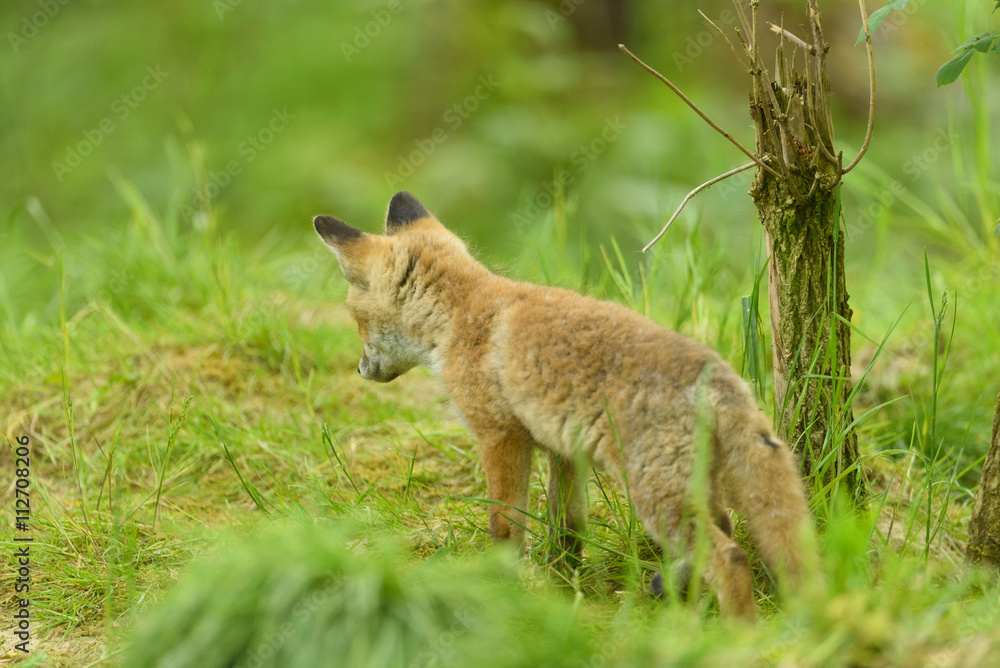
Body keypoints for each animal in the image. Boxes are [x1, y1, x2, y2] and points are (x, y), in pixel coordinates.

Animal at [313, 191, 814, 618]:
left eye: (355, 320)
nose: (361, 370)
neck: (464, 313)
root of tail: (719, 375)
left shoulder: (500, 436)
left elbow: (504, 526)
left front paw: (503, 585)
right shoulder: (562, 447)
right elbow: (569, 527)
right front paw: (563, 584)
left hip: (654, 494)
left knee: (730, 556)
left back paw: (740, 635)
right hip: (688, 485)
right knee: (727, 530)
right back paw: (674, 588)